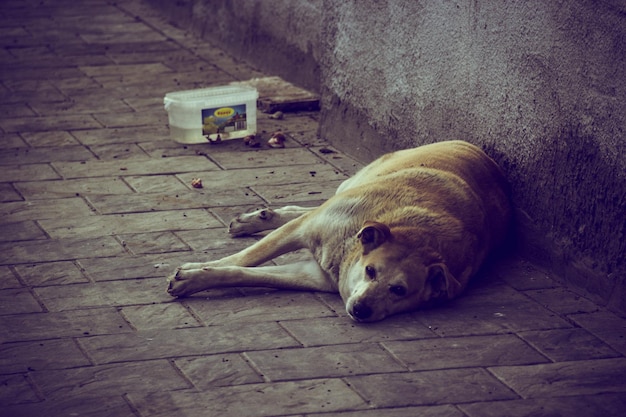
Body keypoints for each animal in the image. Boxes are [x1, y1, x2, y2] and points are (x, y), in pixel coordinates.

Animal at [167, 141, 512, 322]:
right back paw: (259, 218)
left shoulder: (315, 276)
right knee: (311, 207)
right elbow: (246, 258)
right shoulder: (306, 229)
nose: (361, 310)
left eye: (399, 290)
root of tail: (475, 149)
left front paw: (197, 277)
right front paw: (199, 267)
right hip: (354, 182)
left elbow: (247, 273)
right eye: (371, 271)